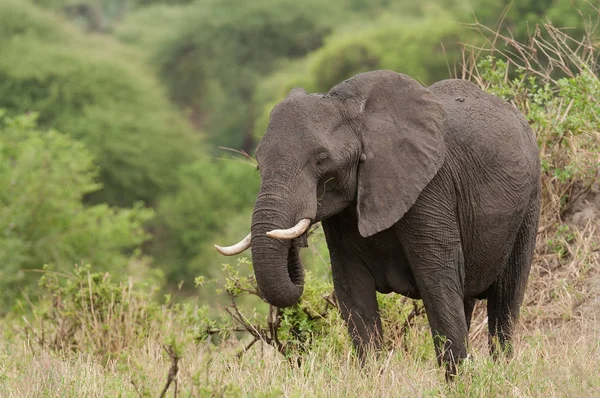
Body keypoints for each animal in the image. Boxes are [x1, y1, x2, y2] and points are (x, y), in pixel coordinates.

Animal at [214, 70, 540, 378]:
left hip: (530, 202)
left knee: (505, 301)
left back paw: (502, 370)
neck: (352, 110)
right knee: (469, 298)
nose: (296, 239)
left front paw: (460, 383)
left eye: (321, 160)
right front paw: (372, 377)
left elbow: (438, 283)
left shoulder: (431, 188)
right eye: (259, 164)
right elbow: (353, 292)